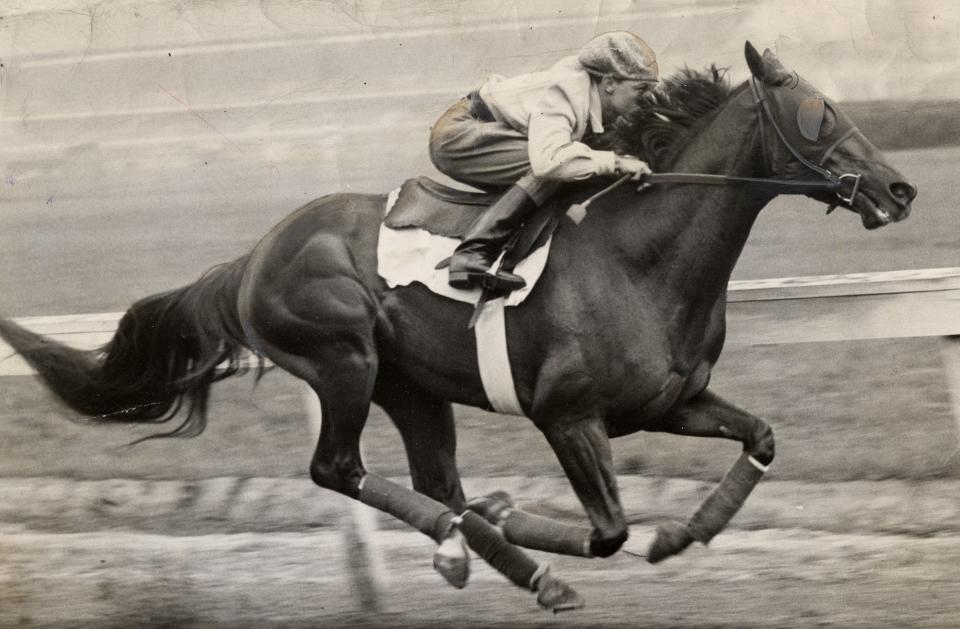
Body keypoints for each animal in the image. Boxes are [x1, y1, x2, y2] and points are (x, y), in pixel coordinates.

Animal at [0, 43, 916, 608]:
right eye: (820, 113)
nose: (901, 189)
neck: (641, 256)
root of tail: (253, 255)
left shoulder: (668, 403)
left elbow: (760, 436)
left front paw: (687, 530)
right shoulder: (567, 416)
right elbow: (610, 531)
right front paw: (552, 526)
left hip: (413, 386)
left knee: (439, 480)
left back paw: (512, 559)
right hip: (345, 360)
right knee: (341, 468)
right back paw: (461, 542)